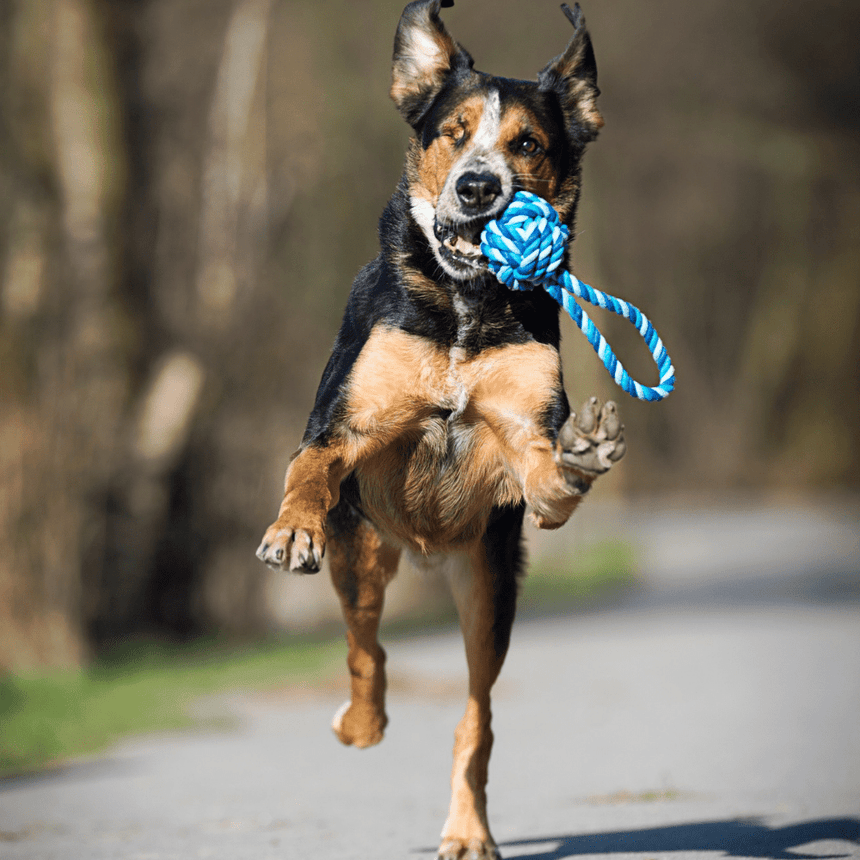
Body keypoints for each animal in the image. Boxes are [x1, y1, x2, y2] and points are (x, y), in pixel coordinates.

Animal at [255, 3, 624, 856]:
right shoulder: (343, 423)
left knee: (476, 719)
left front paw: (584, 454)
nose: (478, 186)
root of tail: (422, 552)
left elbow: (550, 480)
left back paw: (466, 830)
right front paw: (290, 530)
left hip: (488, 587)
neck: (464, 305)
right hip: (360, 556)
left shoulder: (525, 446)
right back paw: (358, 723)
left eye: (526, 143)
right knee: (366, 651)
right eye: (453, 133)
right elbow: (310, 465)